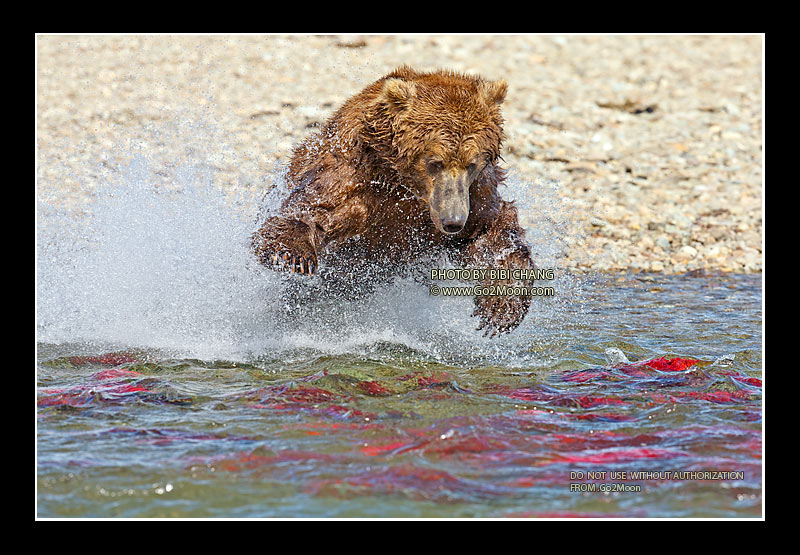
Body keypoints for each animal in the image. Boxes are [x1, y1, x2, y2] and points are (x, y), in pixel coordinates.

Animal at [253, 65, 536, 334]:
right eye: (435, 162)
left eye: (472, 163)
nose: (453, 221)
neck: (405, 184)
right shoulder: (355, 179)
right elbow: (315, 210)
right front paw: (294, 255)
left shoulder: (473, 194)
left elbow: (491, 234)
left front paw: (502, 305)